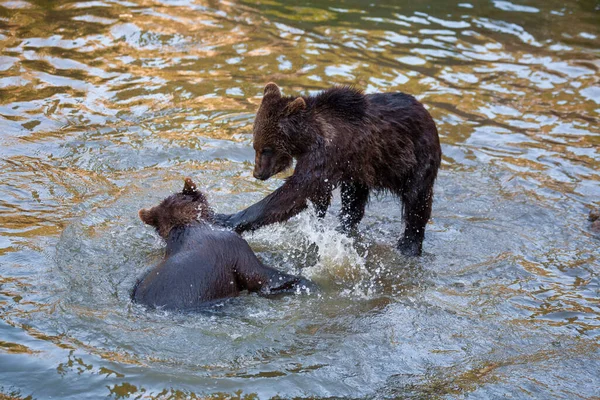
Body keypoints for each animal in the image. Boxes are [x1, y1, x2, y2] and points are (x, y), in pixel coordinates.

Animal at [216, 83, 440, 256]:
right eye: (256, 146)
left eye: (267, 149)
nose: (258, 174)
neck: (307, 140)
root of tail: (427, 113)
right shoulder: (334, 162)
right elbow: (316, 194)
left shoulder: (327, 153)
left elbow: (296, 191)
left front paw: (227, 218)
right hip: (361, 170)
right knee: (354, 200)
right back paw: (344, 227)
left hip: (417, 159)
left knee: (416, 202)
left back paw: (408, 246)